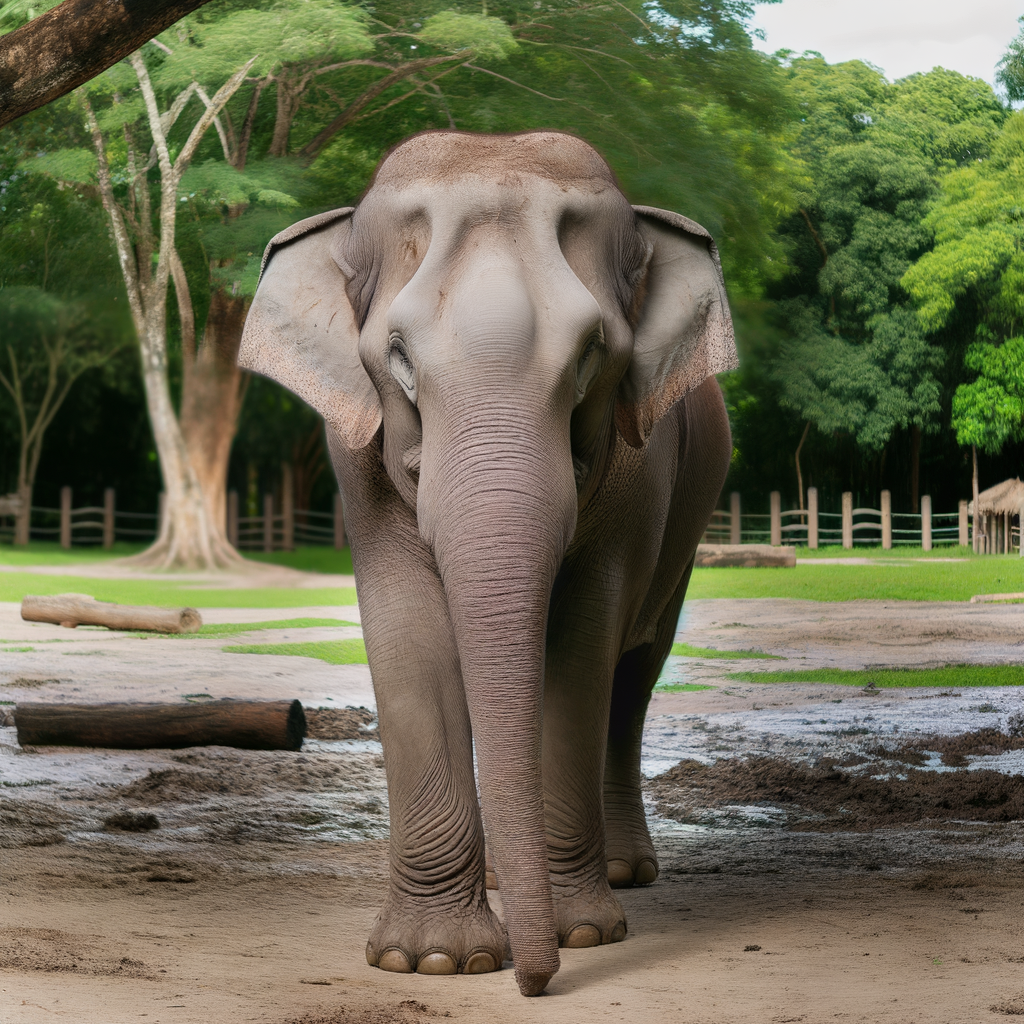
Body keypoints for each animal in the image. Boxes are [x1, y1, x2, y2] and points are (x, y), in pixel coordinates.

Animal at [239, 130, 735, 997]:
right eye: (398, 357)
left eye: (592, 355)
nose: (535, 983)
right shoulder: (358, 459)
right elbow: (410, 635)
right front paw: (436, 959)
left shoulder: (638, 477)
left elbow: (582, 642)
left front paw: (582, 934)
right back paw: (508, 879)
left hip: (691, 520)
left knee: (634, 674)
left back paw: (619, 872)